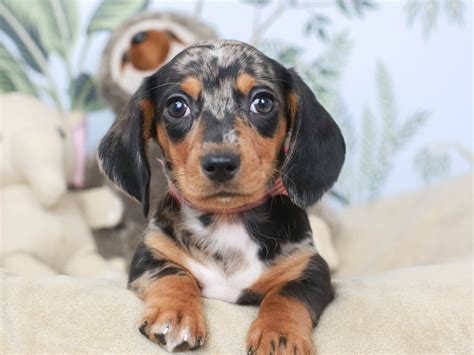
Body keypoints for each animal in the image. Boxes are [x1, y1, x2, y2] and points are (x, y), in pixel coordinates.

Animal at [99, 40, 344, 354]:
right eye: (177, 106)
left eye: (262, 102)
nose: (220, 163)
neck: (227, 220)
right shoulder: (151, 254)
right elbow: (174, 275)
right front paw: (176, 315)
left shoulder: (310, 268)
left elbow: (286, 295)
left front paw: (280, 334)